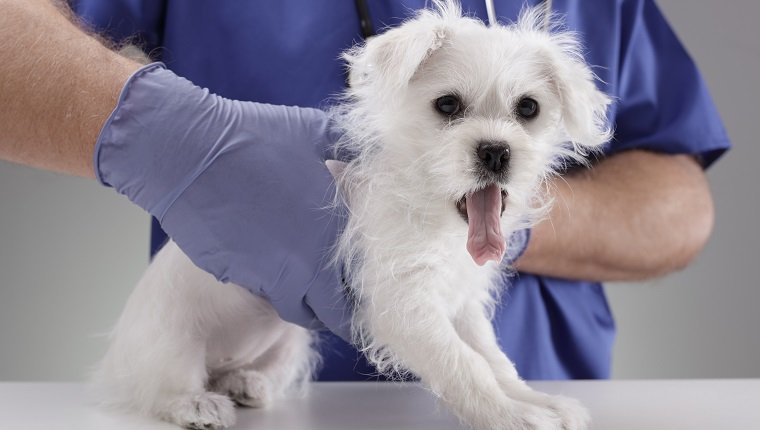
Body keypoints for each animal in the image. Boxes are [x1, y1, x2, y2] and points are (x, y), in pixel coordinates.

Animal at [92, 1, 612, 428]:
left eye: (528, 108)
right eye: (447, 105)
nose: (496, 151)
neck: (432, 213)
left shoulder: (461, 303)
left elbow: (495, 361)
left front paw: (536, 401)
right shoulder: (402, 305)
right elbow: (466, 366)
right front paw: (512, 416)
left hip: (290, 341)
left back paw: (244, 383)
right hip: (172, 341)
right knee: (163, 388)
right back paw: (196, 403)